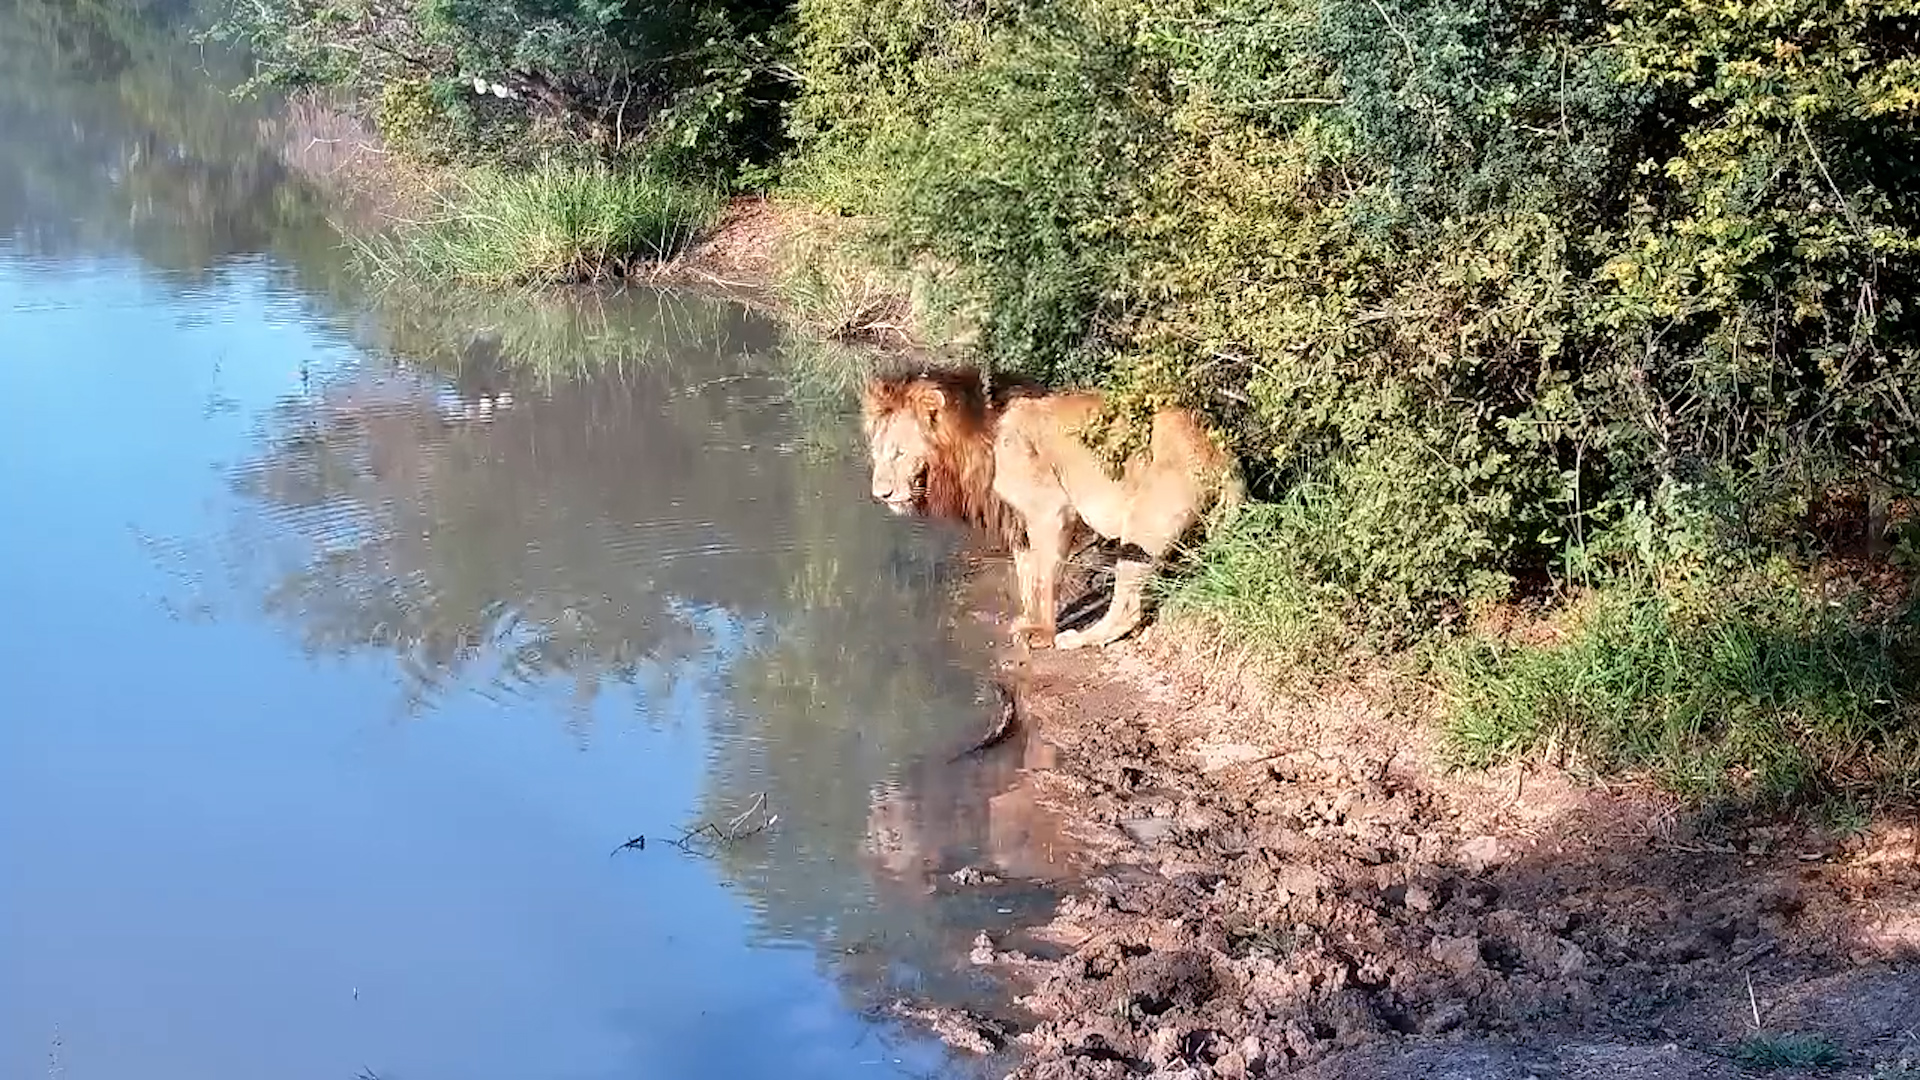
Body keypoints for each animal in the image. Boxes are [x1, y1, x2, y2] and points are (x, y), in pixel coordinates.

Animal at [862, 367, 1242, 650]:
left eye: (899, 452)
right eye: (878, 452)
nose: (880, 494)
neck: (978, 439)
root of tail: (1221, 455)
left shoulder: (1050, 509)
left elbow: (1044, 576)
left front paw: (1042, 633)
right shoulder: (1018, 519)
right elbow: (1027, 573)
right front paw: (1027, 621)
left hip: (1143, 529)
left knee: (1128, 608)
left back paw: (1079, 639)